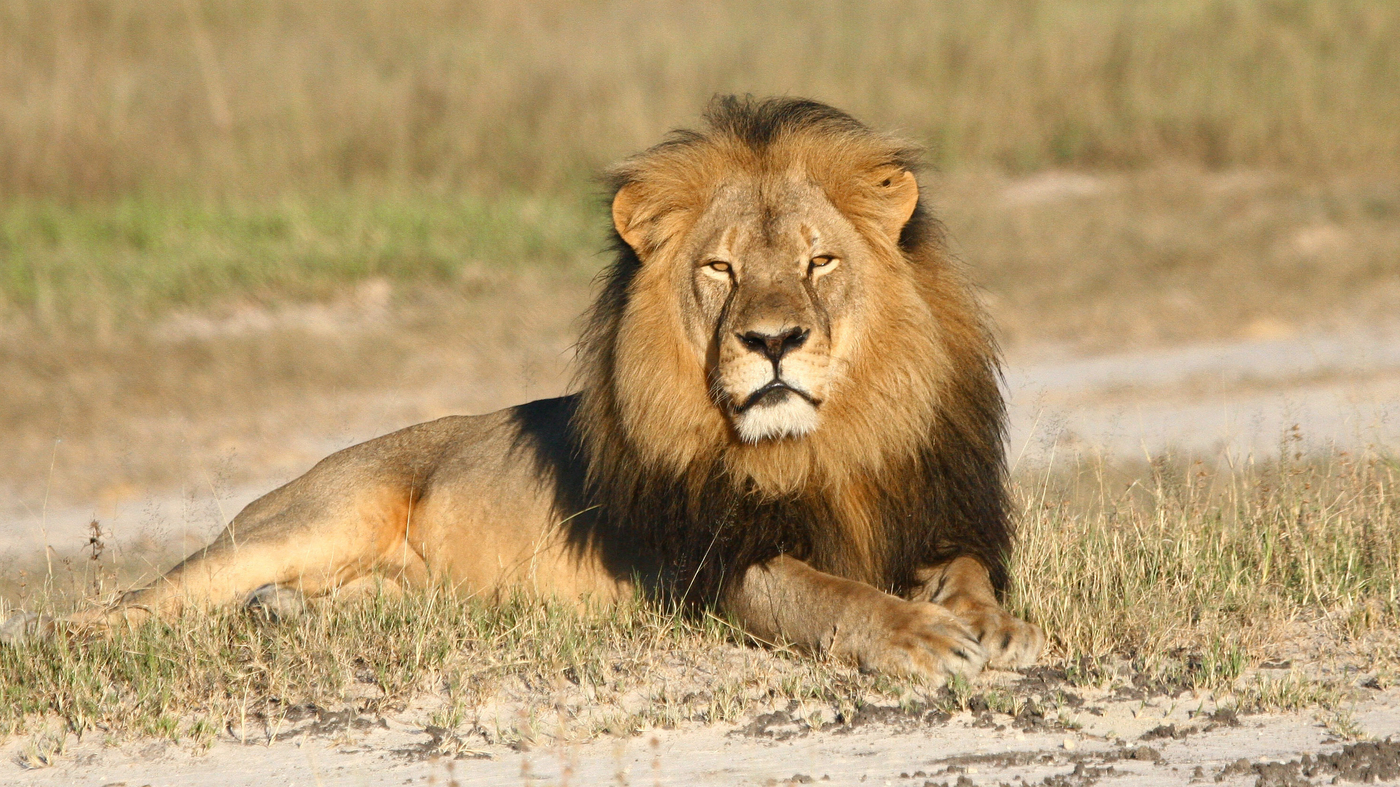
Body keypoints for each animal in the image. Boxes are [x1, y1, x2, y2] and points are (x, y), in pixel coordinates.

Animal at [9, 96, 1043, 681]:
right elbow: (824, 595)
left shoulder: (932, 513)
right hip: (310, 516)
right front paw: (919, 637)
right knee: (146, 597)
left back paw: (286, 614)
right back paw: (59, 638)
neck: (823, 447)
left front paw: (994, 627)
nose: (774, 340)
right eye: (719, 269)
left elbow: (969, 572)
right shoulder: (711, 566)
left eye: (820, 261)